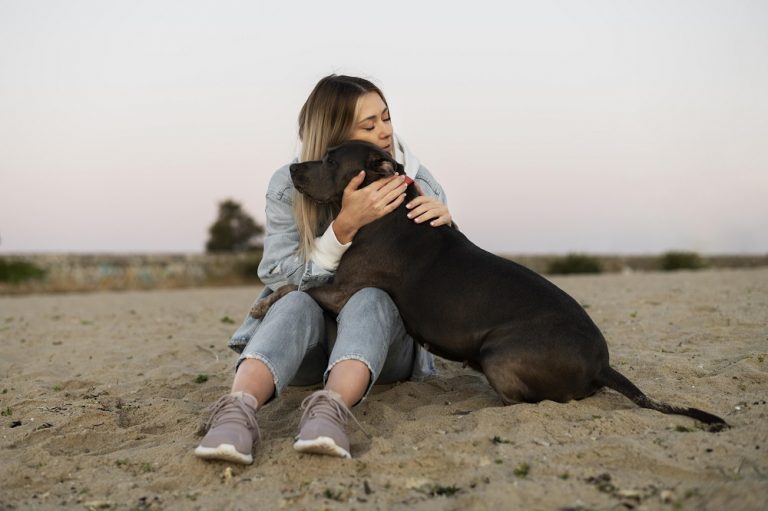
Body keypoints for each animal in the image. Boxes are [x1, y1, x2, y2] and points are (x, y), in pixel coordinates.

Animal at [252, 140, 728, 428]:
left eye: (333, 159)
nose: (293, 166)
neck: (385, 207)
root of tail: (602, 364)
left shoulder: (345, 287)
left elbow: (300, 288)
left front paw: (262, 305)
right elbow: (300, 286)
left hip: (500, 354)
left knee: (530, 404)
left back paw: (468, 411)